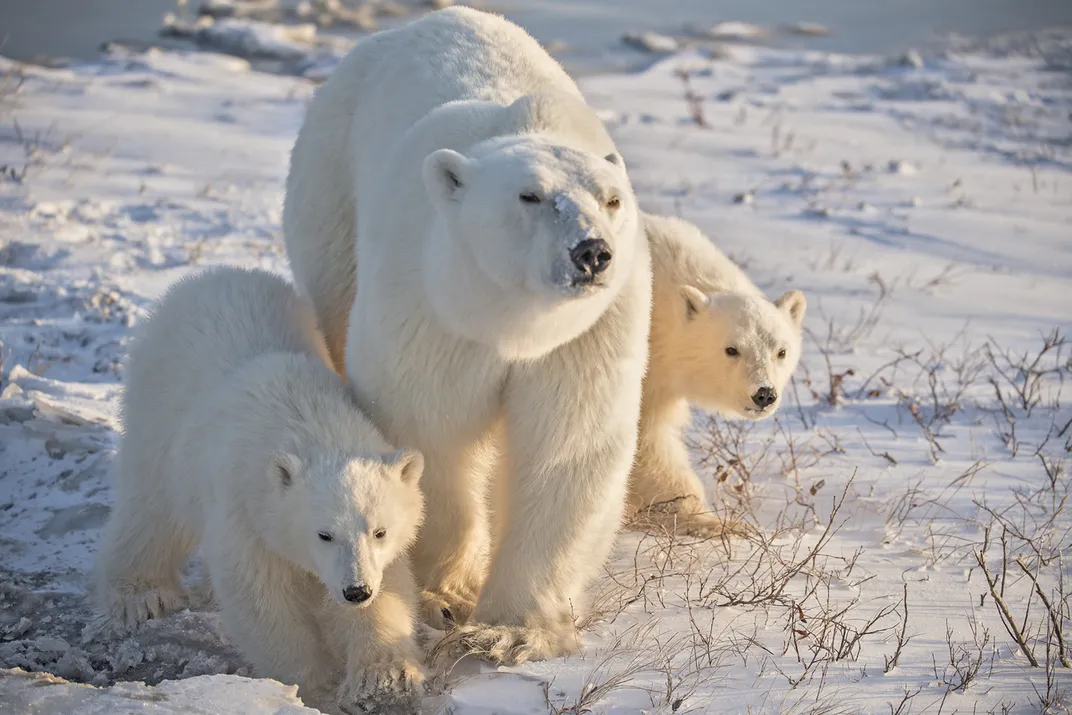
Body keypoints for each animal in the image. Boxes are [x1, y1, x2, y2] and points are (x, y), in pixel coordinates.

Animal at [94, 267, 424, 715]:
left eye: (380, 531)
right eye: (323, 534)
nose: (356, 591)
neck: (311, 422)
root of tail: (212, 275)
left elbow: (390, 587)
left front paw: (384, 680)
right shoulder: (245, 509)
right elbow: (263, 601)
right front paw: (316, 688)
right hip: (158, 407)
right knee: (151, 506)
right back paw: (139, 594)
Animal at [285, 7, 647, 664]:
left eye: (612, 200)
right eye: (531, 195)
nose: (592, 253)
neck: (508, 324)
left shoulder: (587, 338)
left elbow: (566, 451)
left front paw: (512, 630)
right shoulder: (431, 310)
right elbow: (429, 432)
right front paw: (445, 595)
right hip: (330, 193)